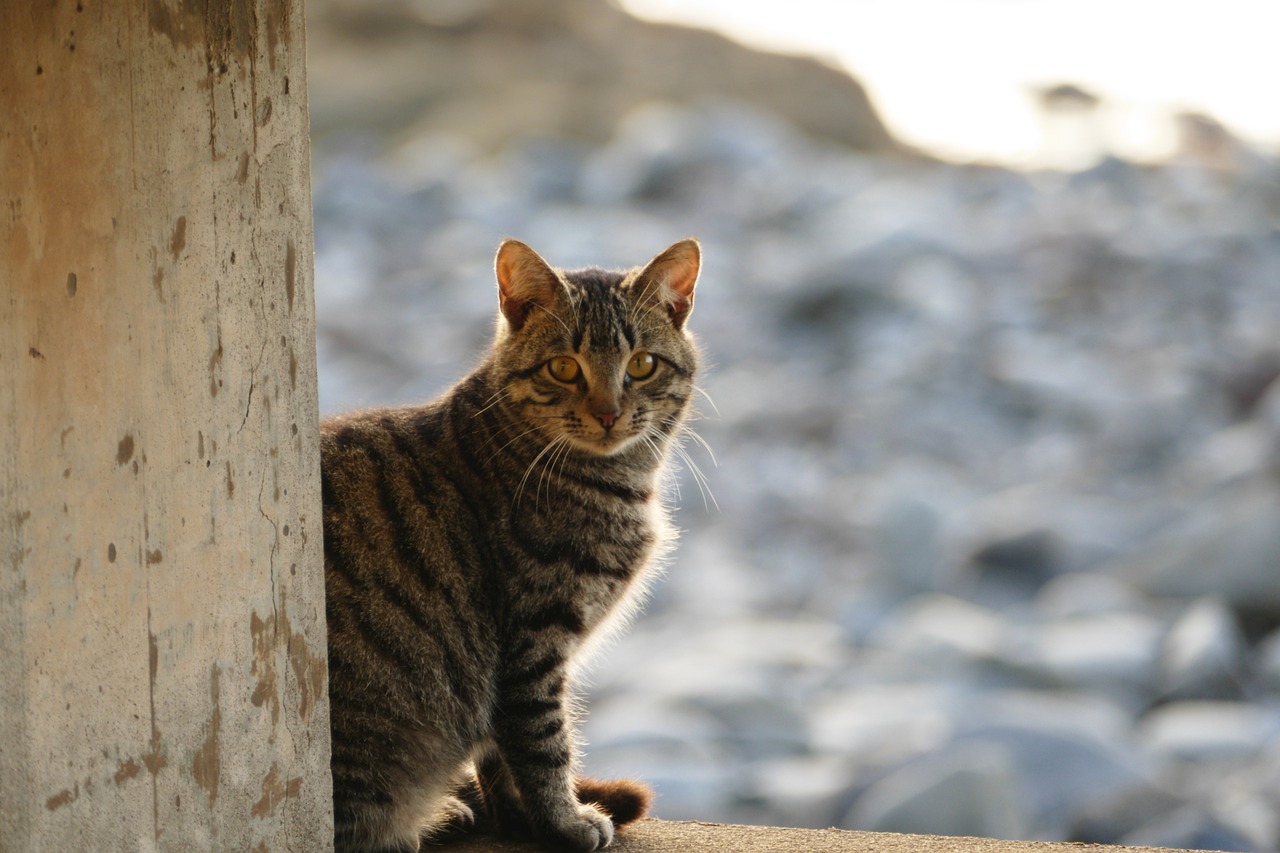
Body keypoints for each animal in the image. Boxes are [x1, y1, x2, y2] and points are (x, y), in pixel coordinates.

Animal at [317, 234, 701, 850]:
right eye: (564, 368)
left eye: (642, 365)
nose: (609, 413)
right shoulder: (532, 639)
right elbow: (543, 745)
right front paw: (563, 821)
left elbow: (504, 758)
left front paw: (521, 818)